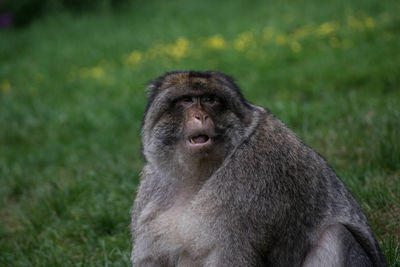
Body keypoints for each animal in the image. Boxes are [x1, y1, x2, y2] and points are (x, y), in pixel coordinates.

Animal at [132, 70, 388, 266]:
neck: (197, 174)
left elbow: (232, 255)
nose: (200, 116)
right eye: (186, 100)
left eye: (210, 100)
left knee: (336, 235)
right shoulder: (152, 184)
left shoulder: (250, 181)